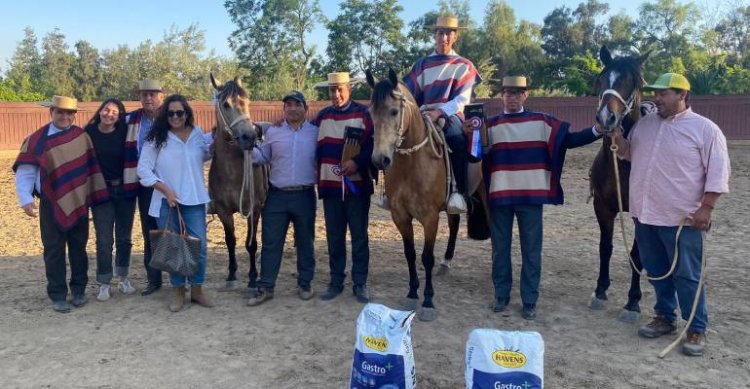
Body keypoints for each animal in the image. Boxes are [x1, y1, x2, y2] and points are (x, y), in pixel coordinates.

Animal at [209, 73, 270, 292]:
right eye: (226, 104)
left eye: (247, 101)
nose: (249, 137)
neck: (231, 173)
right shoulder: (223, 211)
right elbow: (230, 241)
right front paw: (232, 275)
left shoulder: (254, 208)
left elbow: (250, 244)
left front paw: (252, 279)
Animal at [366, 67, 494, 322]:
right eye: (371, 113)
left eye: (394, 111)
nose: (380, 159)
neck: (413, 163)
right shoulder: (400, 216)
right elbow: (410, 253)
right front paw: (412, 293)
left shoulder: (430, 217)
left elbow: (426, 257)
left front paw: (427, 301)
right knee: (454, 226)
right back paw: (446, 263)